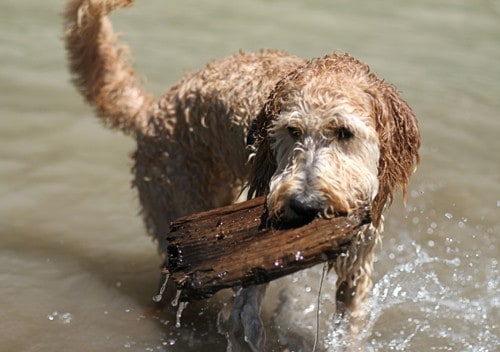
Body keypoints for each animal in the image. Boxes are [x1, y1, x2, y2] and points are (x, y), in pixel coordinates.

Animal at [64, 1, 420, 350]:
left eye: (344, 132)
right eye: (292, 130)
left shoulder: (357, 265)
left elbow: (349, 328)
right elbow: (246, 323)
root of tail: (151, 112)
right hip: (177, 209)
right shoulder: (251, 277)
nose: (304, 204)